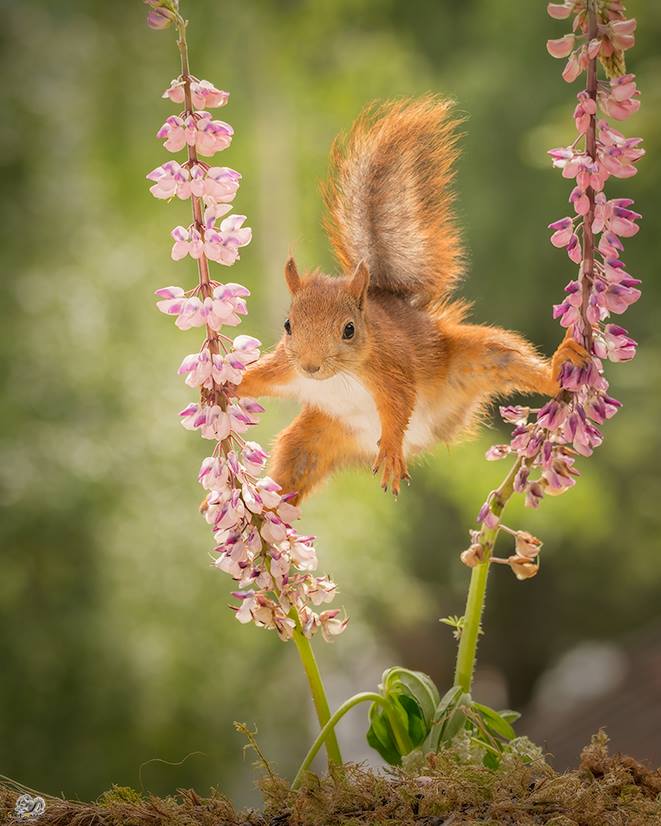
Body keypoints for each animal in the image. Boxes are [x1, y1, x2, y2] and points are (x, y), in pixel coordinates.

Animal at [238, 94, 588, 498]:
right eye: (288, 325)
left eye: (349, 330)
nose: (310, 367)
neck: (340, 377)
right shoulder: (285, 366)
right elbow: (256, 377)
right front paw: (221, 386)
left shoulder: (390, 367)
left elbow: (400, 402)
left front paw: (391, 451)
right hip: (316, 435)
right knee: (294, 466)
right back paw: (262, 508)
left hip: (476, 359)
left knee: (510, 361)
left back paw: (559, 367)